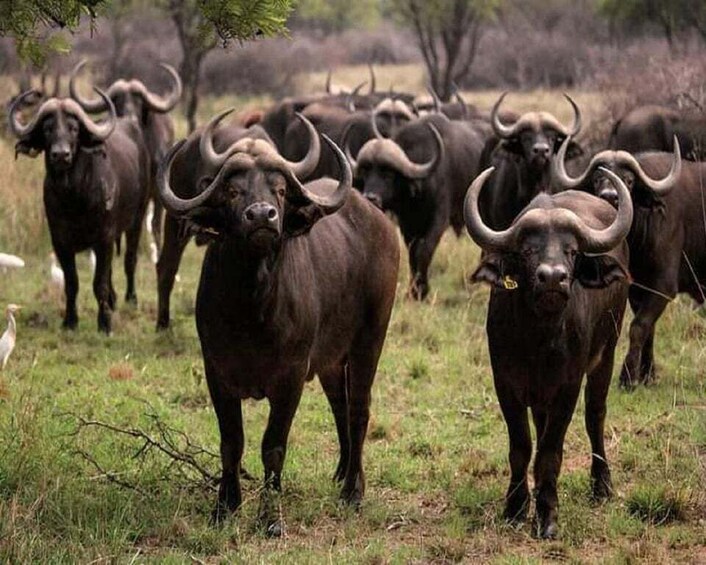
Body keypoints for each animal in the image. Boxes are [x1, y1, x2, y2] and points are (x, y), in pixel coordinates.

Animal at [9, 91, 149, 333]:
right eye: (48, 128)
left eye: (73, 128)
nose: (61, 155)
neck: (74, 197)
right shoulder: (60, 241)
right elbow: (72, 282)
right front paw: (70, 321)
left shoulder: (104, 238)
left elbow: (99, 283)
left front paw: (105, 324)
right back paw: (112, 300)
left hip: (137, 219)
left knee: (130, 259)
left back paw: (131, 299)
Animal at [157, 110, 399, 535]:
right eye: (232, 191)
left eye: (280, 190)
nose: (261, 216)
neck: (252, 310)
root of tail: (381, 224)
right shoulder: (216, 372)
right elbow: (231, 442)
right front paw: (225, 507)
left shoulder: (290, 377)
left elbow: (272, 446)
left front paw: (270, 518)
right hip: (331, 359)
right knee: (340, 404)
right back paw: (341, 472)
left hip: (371, 338)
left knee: (359, 408)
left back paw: (353, 490)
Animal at [466, 166, 633, 538]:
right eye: (529, 251)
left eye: (571, 251)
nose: (553, 279)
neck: (537, 342)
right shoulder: (506, 384)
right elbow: (522, 446)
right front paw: (515, 507)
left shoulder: (567, 388)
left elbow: (550, 451)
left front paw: (547, 515)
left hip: (607, 354)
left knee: (595, 415)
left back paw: (602, 485)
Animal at [553, 139, 686, 388]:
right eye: (597, 179)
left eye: (629, 180)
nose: (610, 196)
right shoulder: (637, 288)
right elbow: (648, 328)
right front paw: (647, 375)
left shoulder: (664, 287)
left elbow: (639, 327)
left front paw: (628, 377)